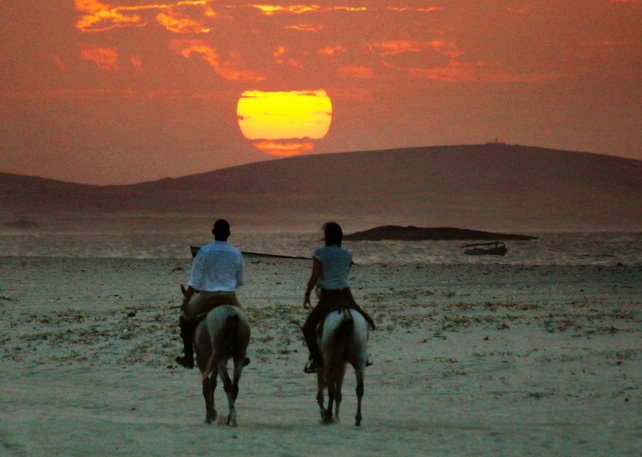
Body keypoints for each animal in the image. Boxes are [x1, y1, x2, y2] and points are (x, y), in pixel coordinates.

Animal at [181, 284, 251, 424]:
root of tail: (231, 314)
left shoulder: (203, 359)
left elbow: (206, 384)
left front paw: (209, 414)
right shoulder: (214, 360)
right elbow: (213, 383)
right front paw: (213, 412)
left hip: (221, 357)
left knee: (228, 383)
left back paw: (232, 418)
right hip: (238, 355)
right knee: (234, 385)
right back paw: (231, 416)